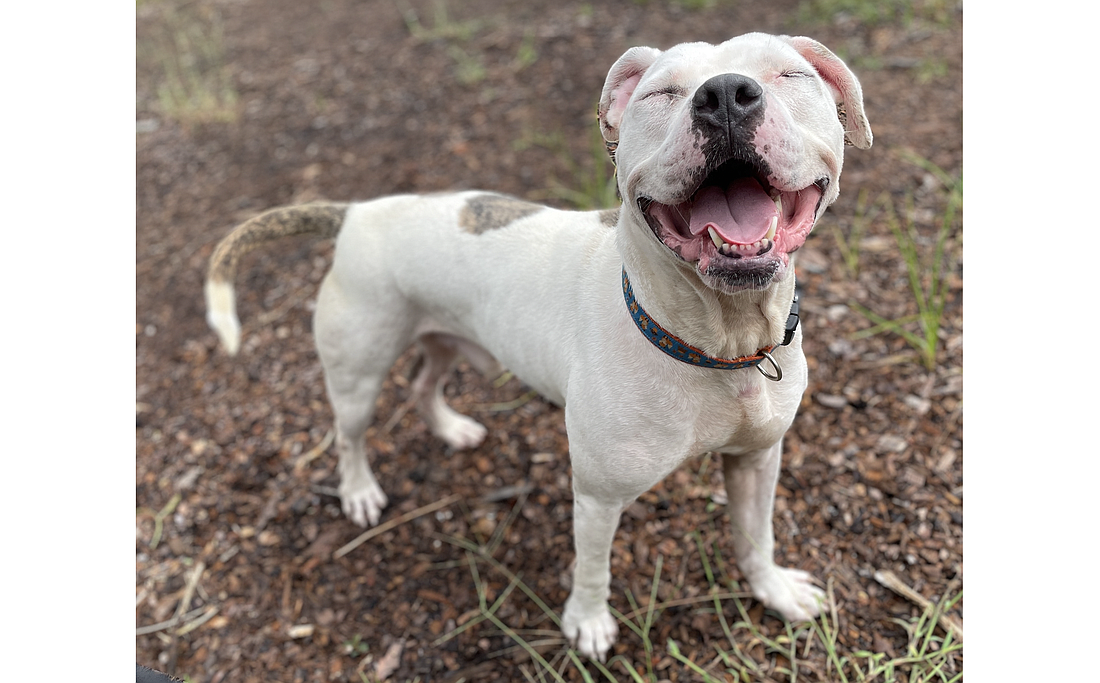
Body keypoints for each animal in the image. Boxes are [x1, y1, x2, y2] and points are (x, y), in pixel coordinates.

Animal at [204, 33, 866, 659]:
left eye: (789, 75)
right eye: (661, 94)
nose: (726, 94)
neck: (718, 343)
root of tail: (354, 215)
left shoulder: (756, 462)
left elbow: (756, 536)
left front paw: (773, 590)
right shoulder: (597, 496)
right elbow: (593, 567)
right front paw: (588, 624)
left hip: (444, 338)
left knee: (423, 384)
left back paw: (452, 429)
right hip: (357, 374)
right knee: (350, 435)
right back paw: (361, 493)